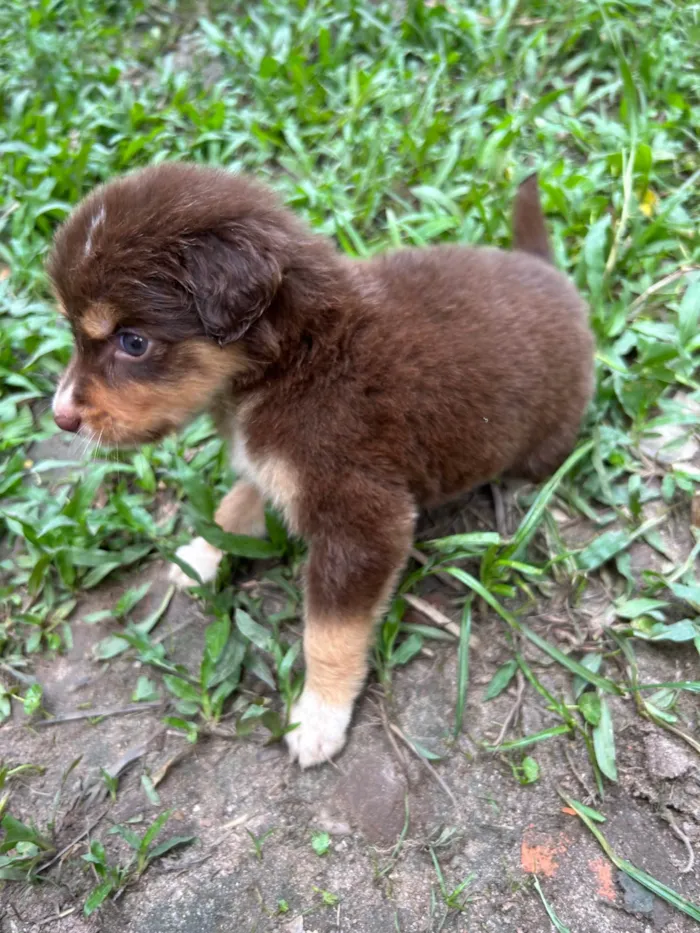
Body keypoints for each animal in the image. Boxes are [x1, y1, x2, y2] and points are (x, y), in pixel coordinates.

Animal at [49, 164, 592, 768]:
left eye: (134, 342)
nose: (61, 417)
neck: (297, 359)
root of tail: (548, 273)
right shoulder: (270, 462)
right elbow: (236, 503)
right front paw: (201, 554)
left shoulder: (361, 522)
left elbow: (329, 636)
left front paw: (318, 717)